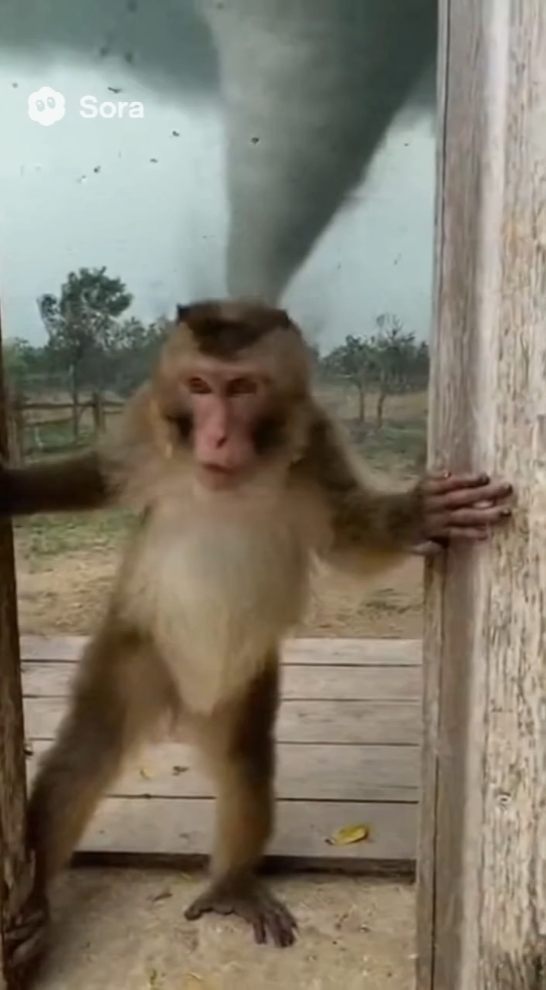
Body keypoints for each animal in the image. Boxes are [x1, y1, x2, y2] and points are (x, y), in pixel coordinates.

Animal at [0, 298, 513, 965]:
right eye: (199, 385)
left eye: (242, 388)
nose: (216, 436)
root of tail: (182, 706)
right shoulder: (145, 425)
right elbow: (91, 476)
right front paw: (7, 486)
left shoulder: (315, 442)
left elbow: (347, 534)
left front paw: (419, 517)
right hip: (139, 653)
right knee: (87, 752)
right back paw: (34, 900)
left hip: (240, 683)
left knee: (245, 761)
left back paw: (232, 882)